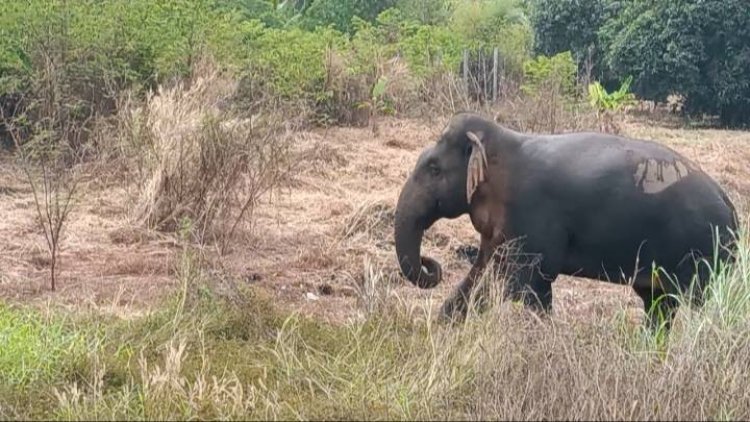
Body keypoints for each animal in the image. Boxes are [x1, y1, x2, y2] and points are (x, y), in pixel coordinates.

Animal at [394, 112, 740, 330]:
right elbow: (482, 276)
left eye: (434, 168)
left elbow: (526, 286)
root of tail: (730, 204)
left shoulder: (533, 218)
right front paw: (442, 327)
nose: (431, 264)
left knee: (696, 306)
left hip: (704, 255)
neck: (502, 143)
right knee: (659, 305)